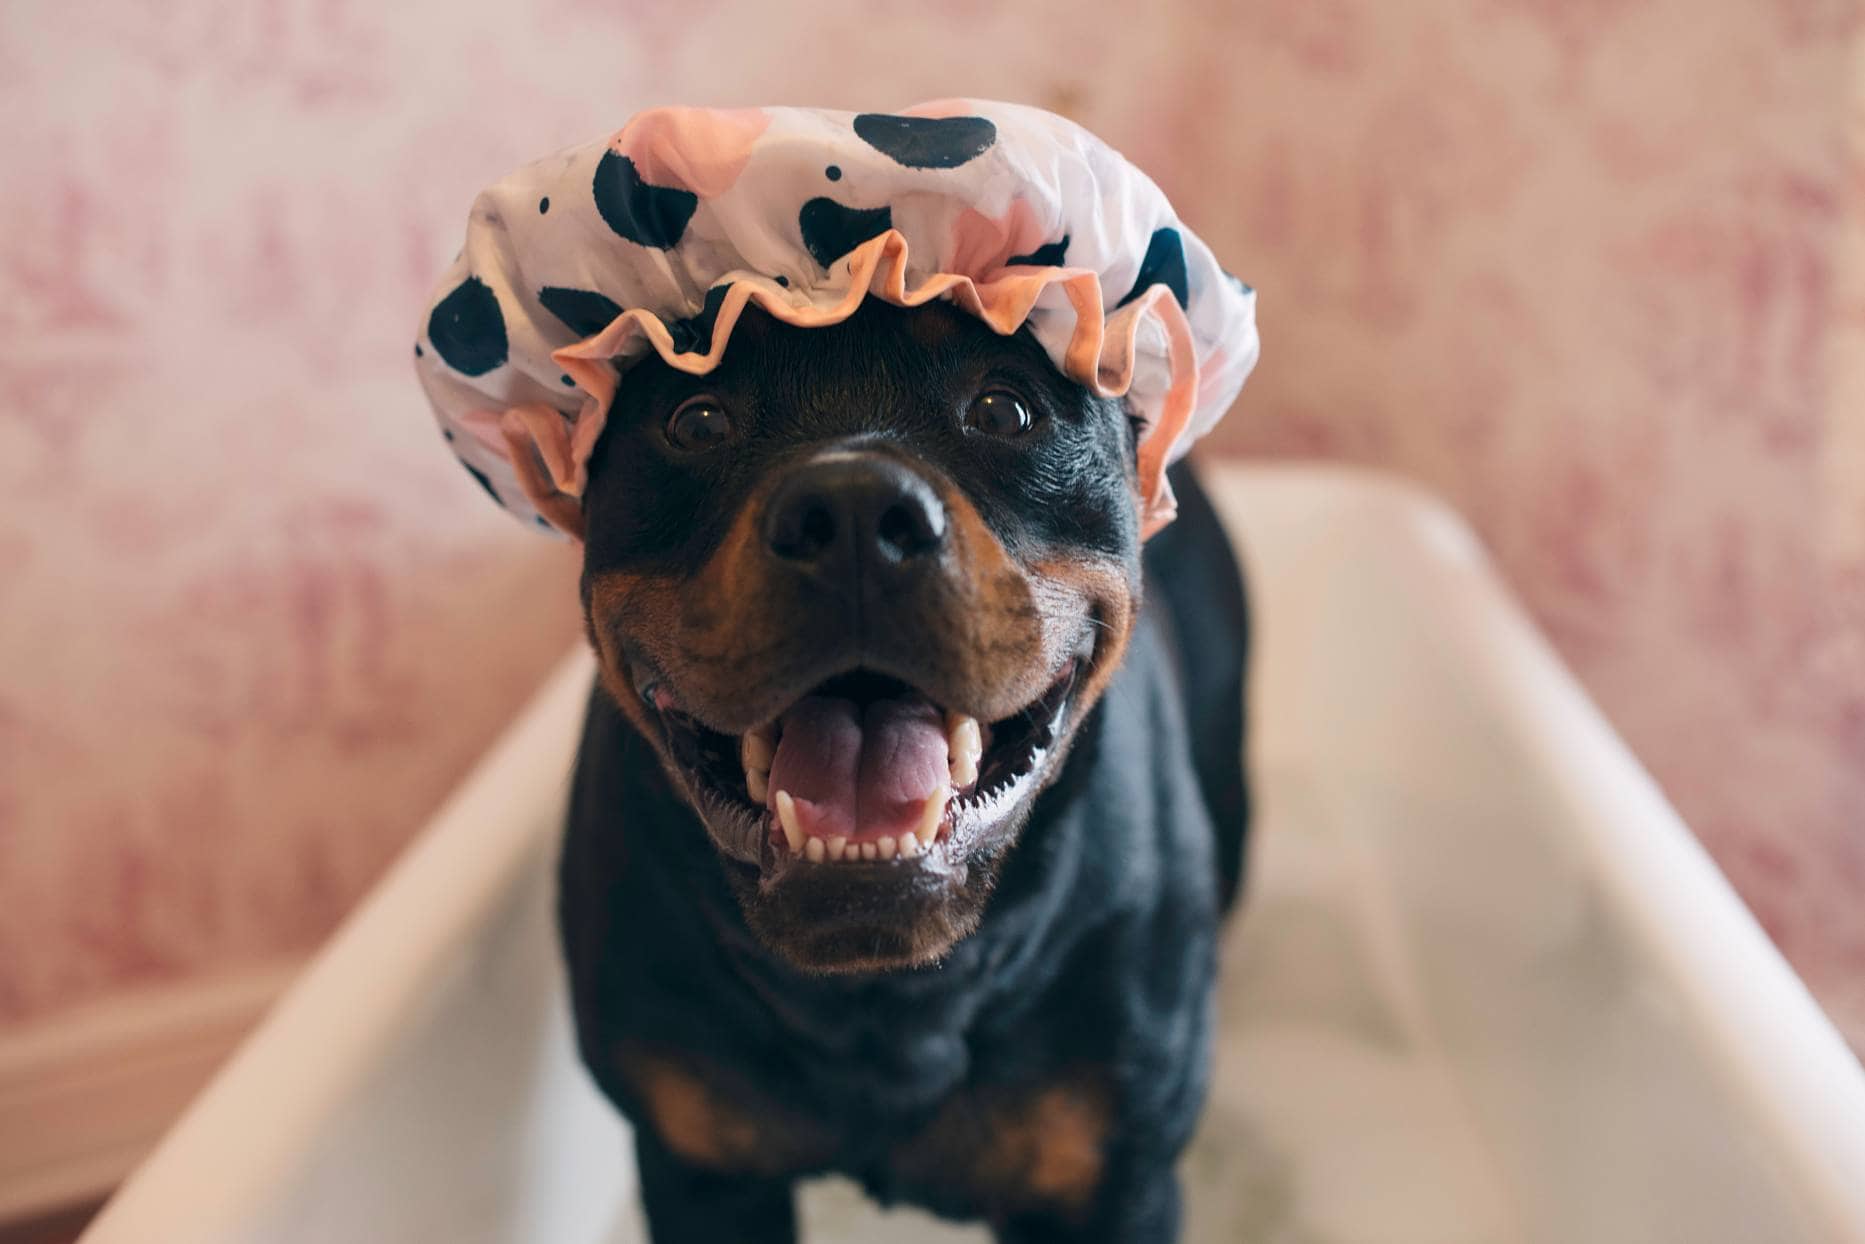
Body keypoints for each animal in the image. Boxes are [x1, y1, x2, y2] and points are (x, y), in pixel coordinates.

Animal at [555, 294, 1253, 1244]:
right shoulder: (702, 1173)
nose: (850, 510)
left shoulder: (1114, 1186)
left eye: (1004, 410)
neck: (883, 1000)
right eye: (694, 420)